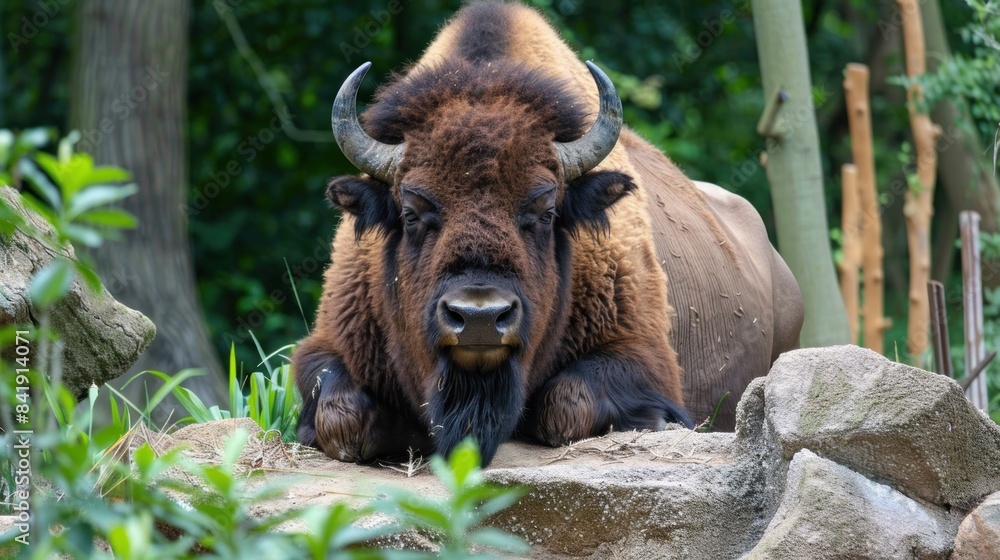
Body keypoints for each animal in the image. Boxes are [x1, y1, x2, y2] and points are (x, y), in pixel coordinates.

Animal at [294, 1, 804, 466]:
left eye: (544, 210)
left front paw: (661, 422)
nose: (479, 317)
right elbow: (340, 416)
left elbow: (566, 405)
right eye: (412, 211)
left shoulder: (643, 354)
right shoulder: (329, 347)